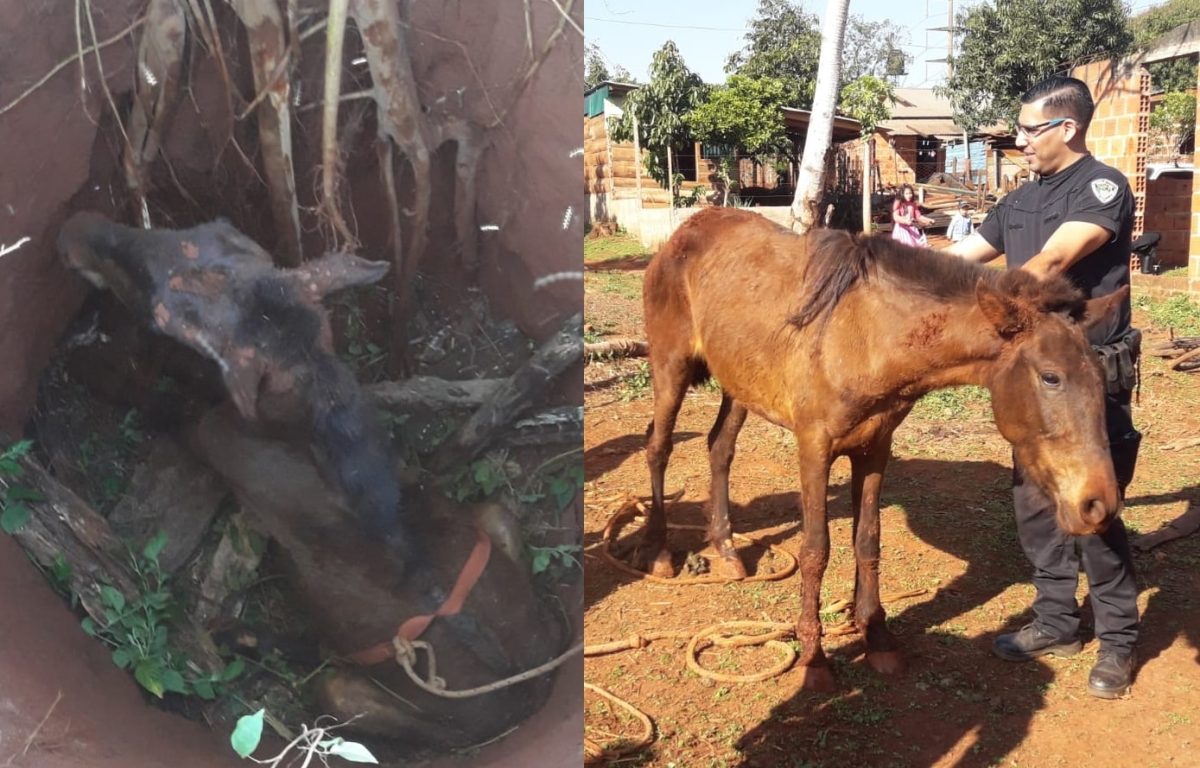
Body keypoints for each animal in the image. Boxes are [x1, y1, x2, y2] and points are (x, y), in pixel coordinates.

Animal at [640, 207, 1126, 690]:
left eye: (1100, 376)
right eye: (1050, 376)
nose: (1098, 504)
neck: (863, 337)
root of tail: (685, 232)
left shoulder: (874, 449)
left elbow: (867, 541)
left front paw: (875, 636)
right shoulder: (814, 449)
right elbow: (815, 551)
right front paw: (813, 658)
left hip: (737, 385)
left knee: (719, 448)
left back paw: (726, 549)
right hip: (671, 366)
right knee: (658, 446)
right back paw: (660, 553)